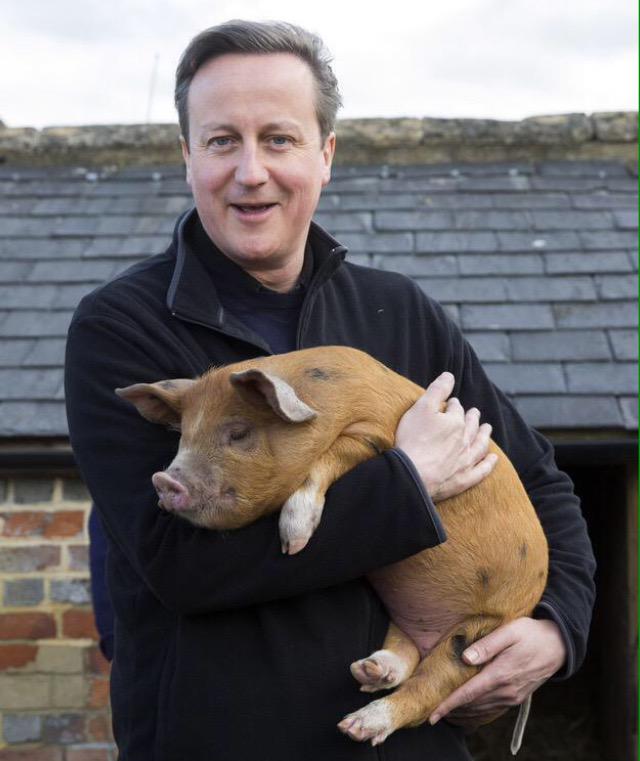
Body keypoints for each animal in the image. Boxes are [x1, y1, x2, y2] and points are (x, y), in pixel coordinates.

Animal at [117, 345, 548, 752]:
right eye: (184, 436)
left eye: (238, 433)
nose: (163, 481)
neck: (324, 402)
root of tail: (526, 608)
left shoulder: (372, 436)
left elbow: (328, 459)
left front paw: (293, 544)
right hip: (417, 613)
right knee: (405, 653)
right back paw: (368, 671)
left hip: (480, 631)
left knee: (428, 690)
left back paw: (356, 725)